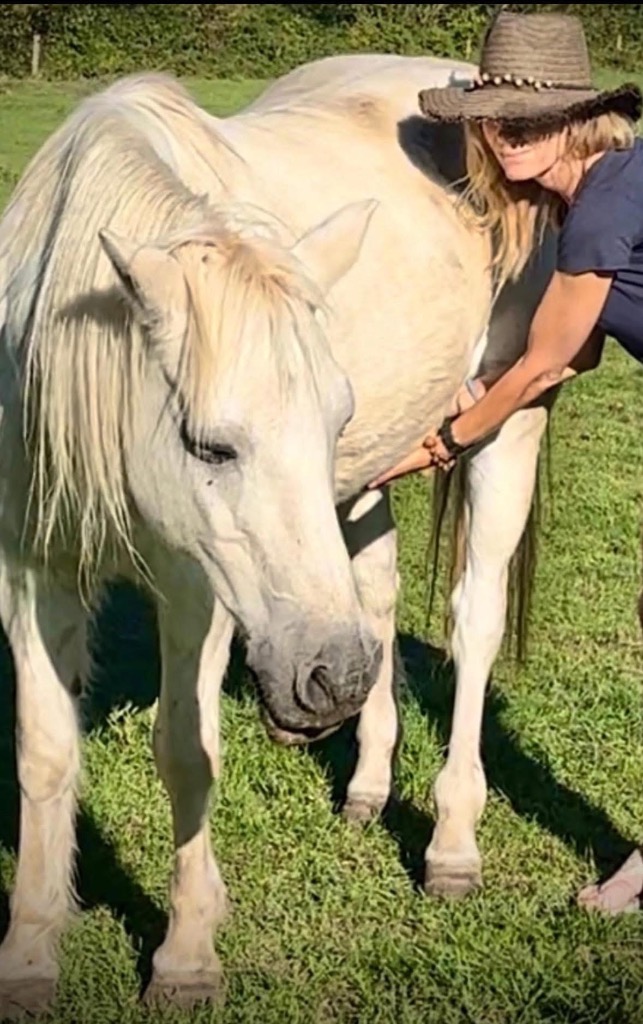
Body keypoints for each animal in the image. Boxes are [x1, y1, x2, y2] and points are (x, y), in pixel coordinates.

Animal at [0, 54, 556, 1015]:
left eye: (334, 419)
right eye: (209, 445)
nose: (325, 679)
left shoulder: (196, 589)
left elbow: (187, 754)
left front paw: (187, 954)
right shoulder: (33, 565)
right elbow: (45, 753)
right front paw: (30, 956)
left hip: (509, 424)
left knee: (472, 622)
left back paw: (451, 841)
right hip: (367, 491)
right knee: (376, 598)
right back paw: (368, 782)